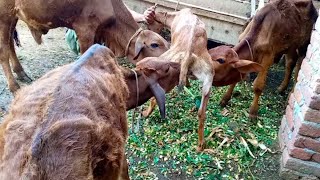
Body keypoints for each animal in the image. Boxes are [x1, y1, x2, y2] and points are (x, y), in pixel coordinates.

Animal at [0, 0, 169, 93]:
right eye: (155, 44)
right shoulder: (85, 29)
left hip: (13, 16)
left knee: (9, 43)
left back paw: (20, 72)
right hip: (4, 15)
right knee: (3, 51)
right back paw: (14, 86)